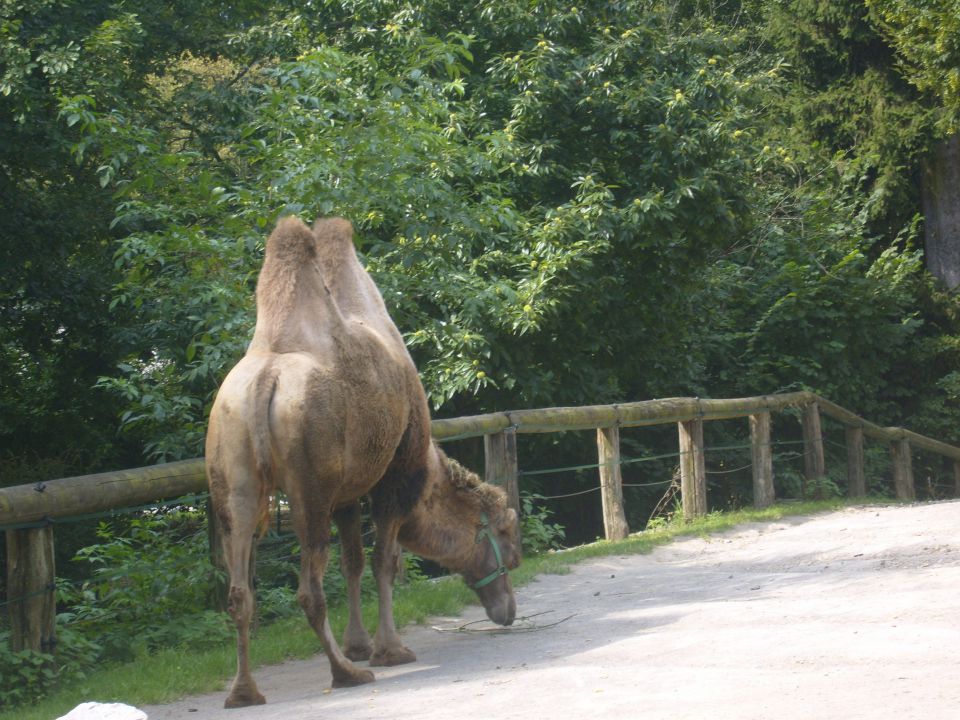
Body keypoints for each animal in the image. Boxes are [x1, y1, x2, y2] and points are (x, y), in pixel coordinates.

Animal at [202, 215, 516, 708]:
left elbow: (353, 561)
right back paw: (346, 674)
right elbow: (384, 559)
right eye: (505, 532)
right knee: (309, 589)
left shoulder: (346, 492)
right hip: (308, 485)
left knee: (239, 590)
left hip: (232, 471)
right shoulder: (394, 479)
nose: (509, 611)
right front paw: (388, 651)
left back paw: (244, 691)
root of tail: (264, 382)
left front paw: (360, 644)